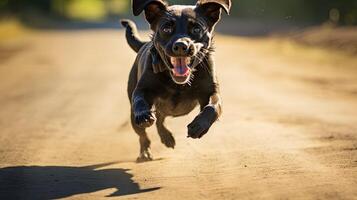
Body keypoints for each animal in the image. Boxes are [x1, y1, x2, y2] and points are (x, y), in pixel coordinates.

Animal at [121, 0, 229, 161]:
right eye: (166, 28)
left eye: (196, 29)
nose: (181, 46)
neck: (179, 84)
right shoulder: (142, 89)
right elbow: (139, 99)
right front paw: (143, 114)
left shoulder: (211, 92)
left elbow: (212, 107)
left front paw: (198, 126)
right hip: (135, 115)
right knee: (143, 134)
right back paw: (145, 151)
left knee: (160, 119)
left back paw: (167, 137)